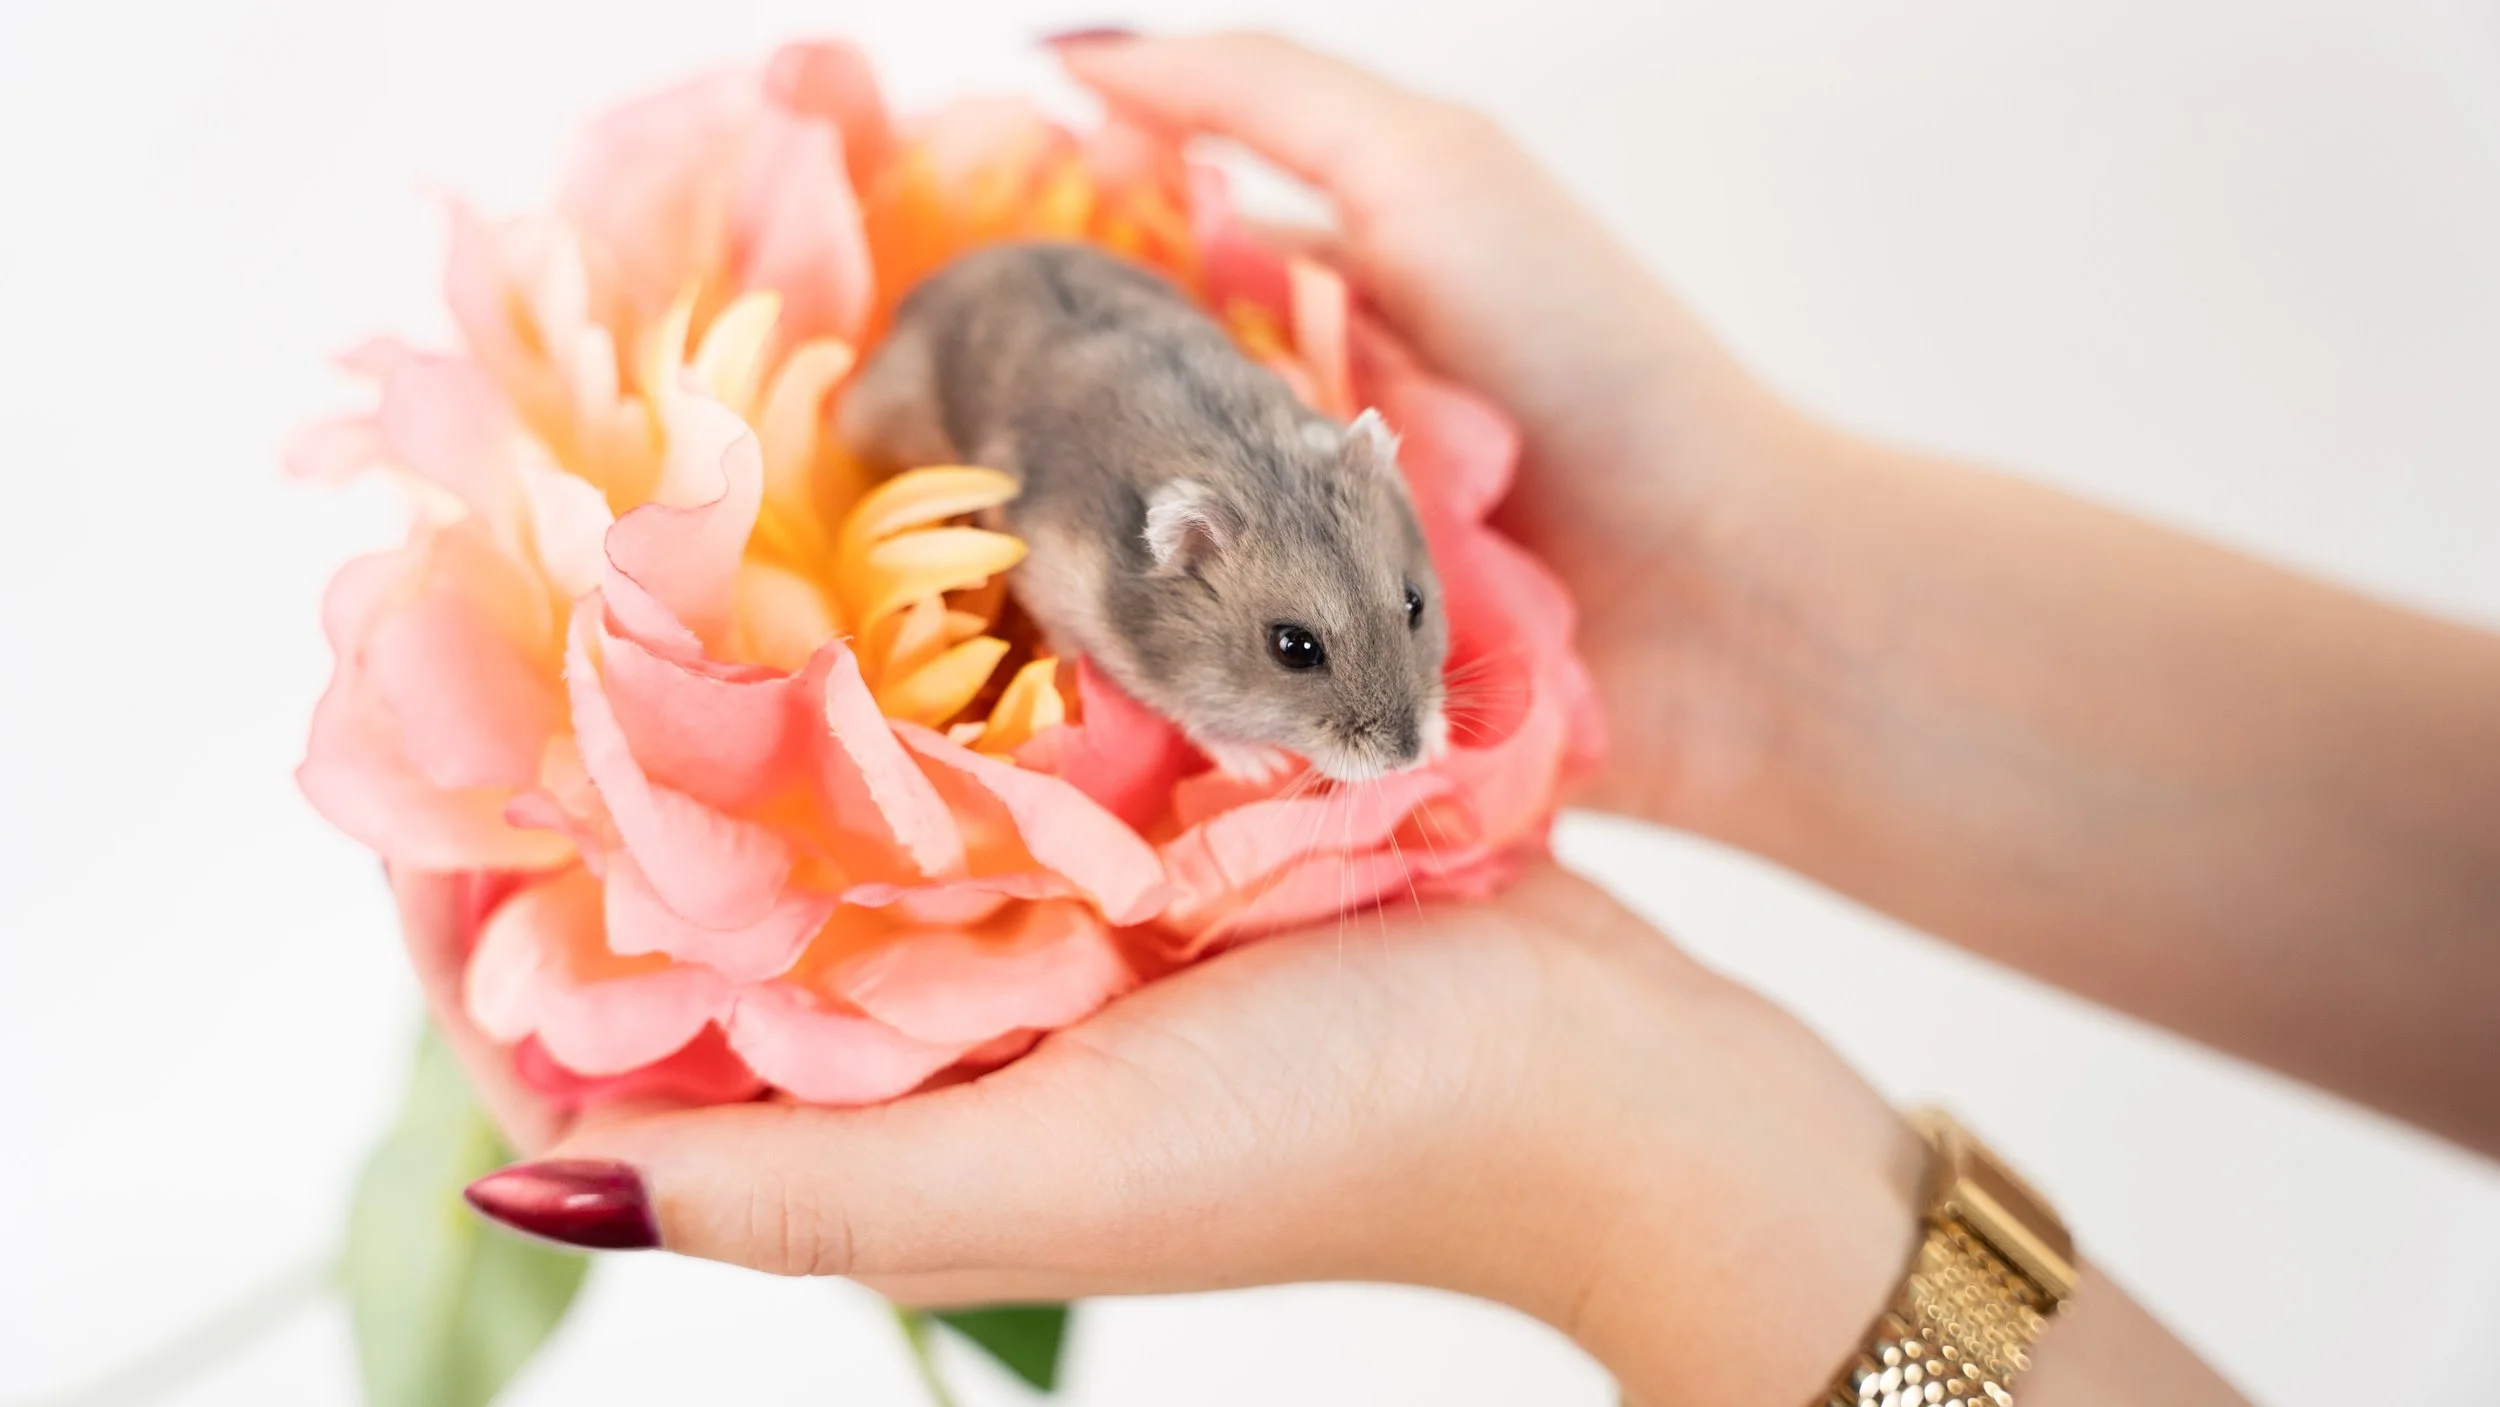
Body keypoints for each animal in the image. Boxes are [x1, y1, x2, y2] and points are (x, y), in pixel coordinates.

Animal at [837, 241, 1449, 784]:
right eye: (1294, 649)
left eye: (1414, 602)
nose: (1408, 759)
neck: (1253, 467)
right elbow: (1187, 709)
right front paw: (1259, 766)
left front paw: (1442, 739)